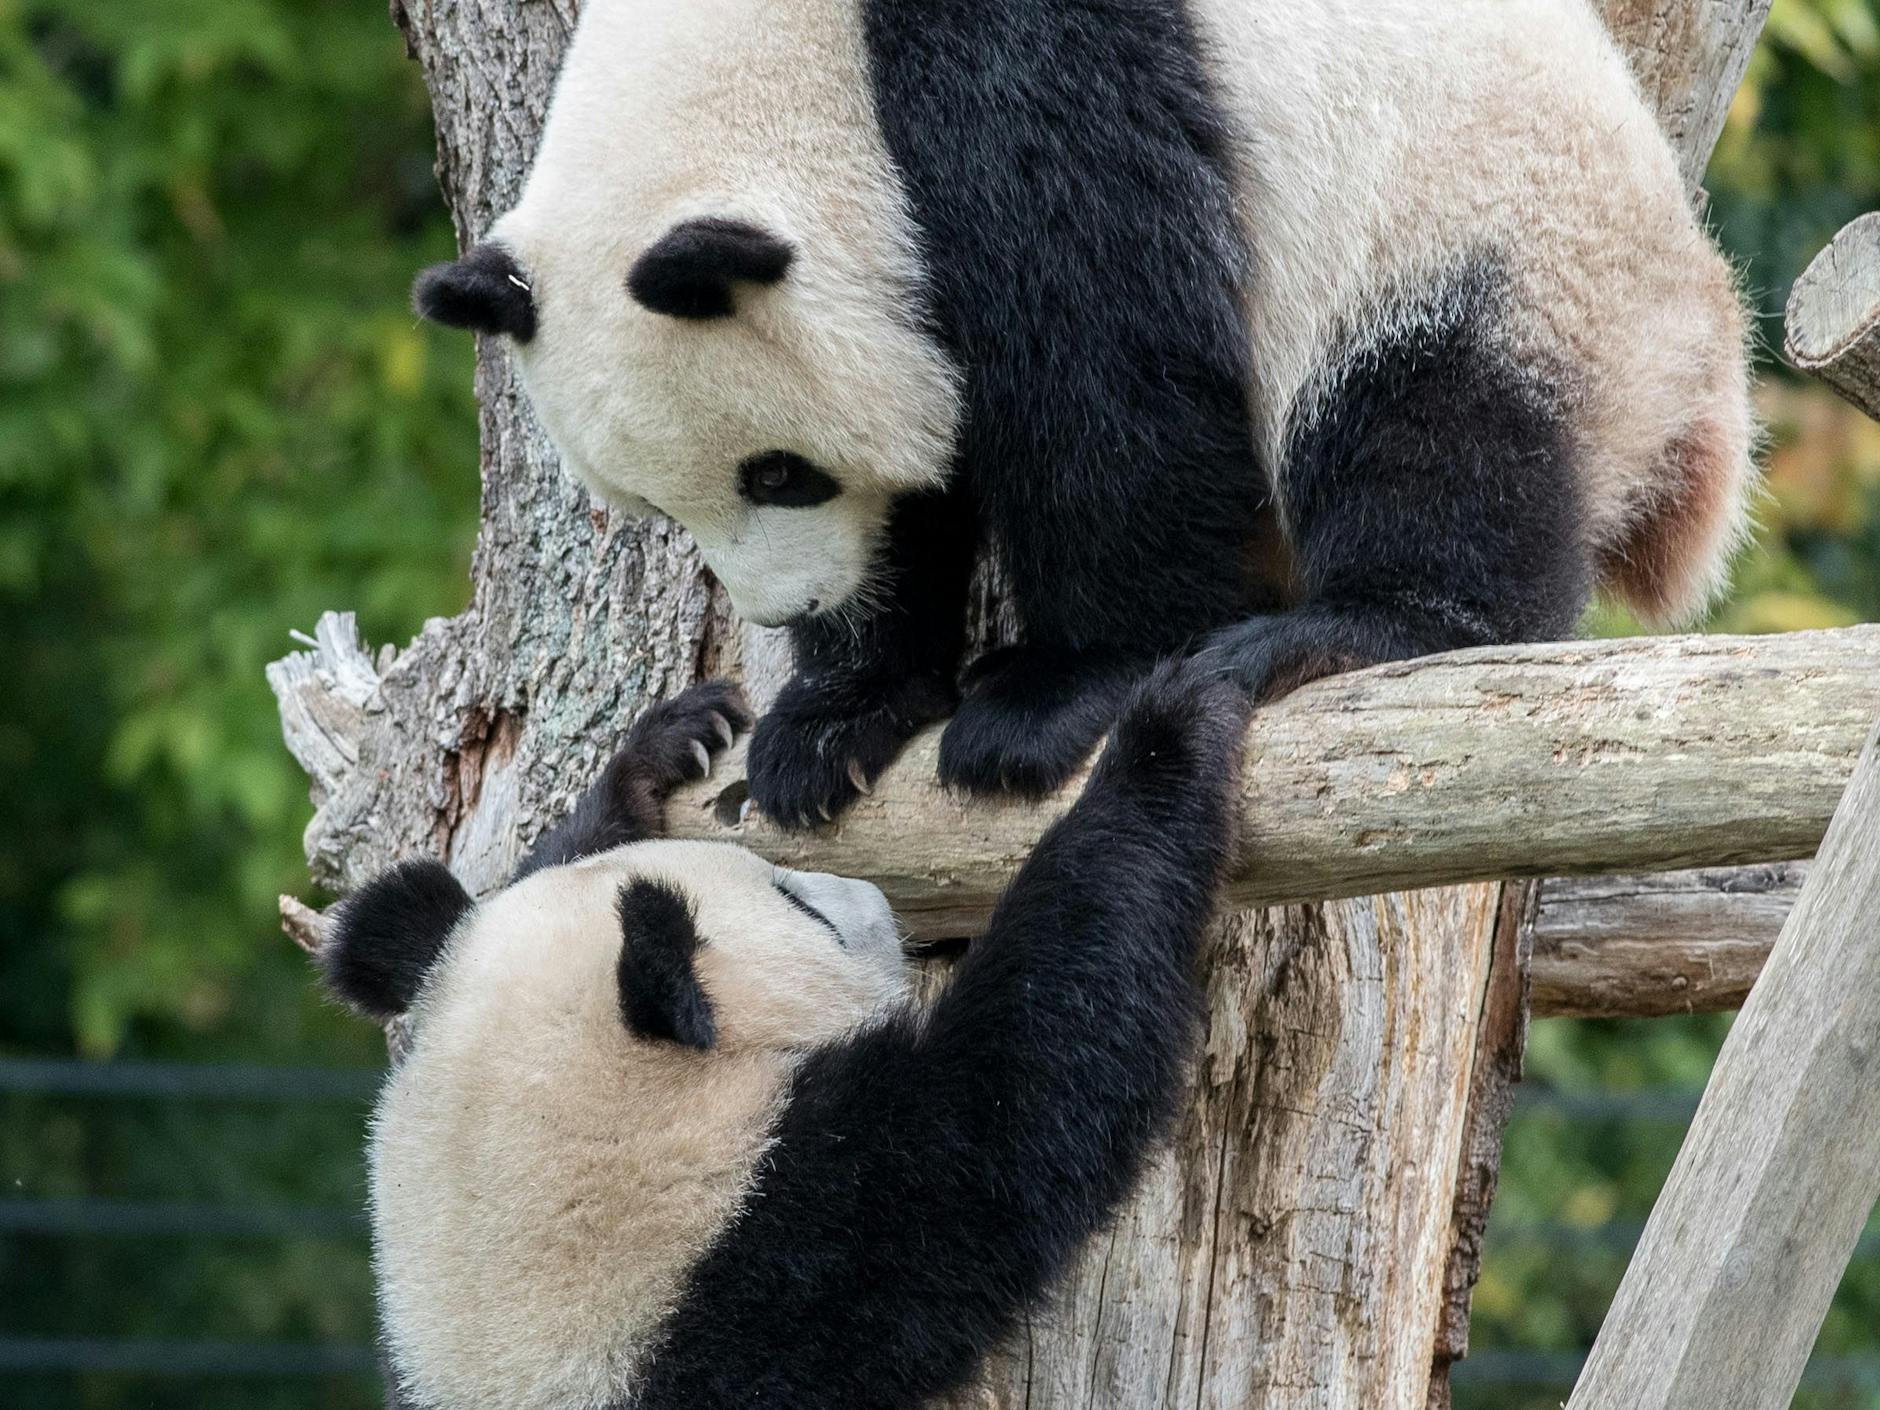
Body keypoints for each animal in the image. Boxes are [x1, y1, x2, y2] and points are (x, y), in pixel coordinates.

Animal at [319, 674, 1248, 1410]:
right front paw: (1168, 732)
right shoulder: (789, 1260)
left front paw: (664, 749)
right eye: (799, 906)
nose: (874, 896)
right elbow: (1021, 1095)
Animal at [414, 0, 1754, 828]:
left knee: (1431, 415)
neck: (778, 49)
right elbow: (929, 480)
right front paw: (831, 720)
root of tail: (1700, 400)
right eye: (652, 502)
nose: (791, 610)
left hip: (1504, 240)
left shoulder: (1027, 60)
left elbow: (1105, 355)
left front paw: (1049, 699)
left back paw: (1365, 625)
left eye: (778, 472)